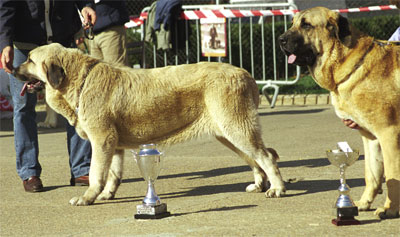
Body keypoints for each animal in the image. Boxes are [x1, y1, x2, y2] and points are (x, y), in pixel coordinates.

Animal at [14, 43, 286, 206]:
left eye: (29, 59)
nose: (12, 68)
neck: (81, 80)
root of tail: (246, 74)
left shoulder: (101, 140)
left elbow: (95, 173)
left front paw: (88, 197)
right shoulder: (114, 145)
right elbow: (113, 173)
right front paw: (107, 194)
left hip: (237, 128)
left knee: (265, 156)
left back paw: (277, 188)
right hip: (229, 133)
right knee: (255, 158)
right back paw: (259, 184)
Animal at [278, 6, 400, 219]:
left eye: (306, 25)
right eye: (292, 23)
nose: (280, 40)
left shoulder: (389, 133)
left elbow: (392, 175)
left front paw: (390, 209)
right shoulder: (371, 138)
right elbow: (372, 174)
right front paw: (363, 203)